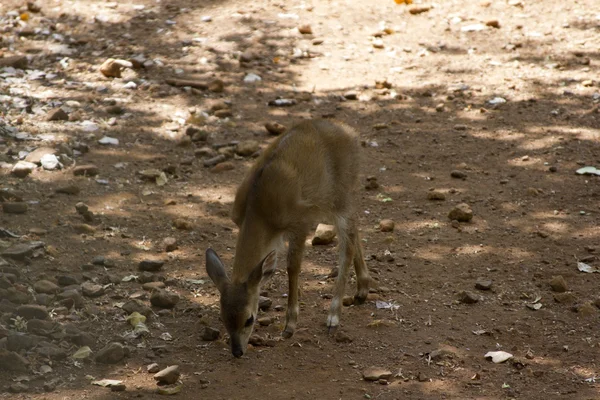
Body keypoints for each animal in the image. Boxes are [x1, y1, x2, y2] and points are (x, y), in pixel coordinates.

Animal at [209, 119, 372, 356]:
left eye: (249, 319)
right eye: (223, 318)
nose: (237, 351)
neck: (259, 209)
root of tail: (352, 133)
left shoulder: (300, 222)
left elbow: (292, 267)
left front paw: (290, 326)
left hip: (342, 194)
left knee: (346, 246)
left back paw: (333, 318)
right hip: (332, 201)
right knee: (354, 230)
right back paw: (361, 291)